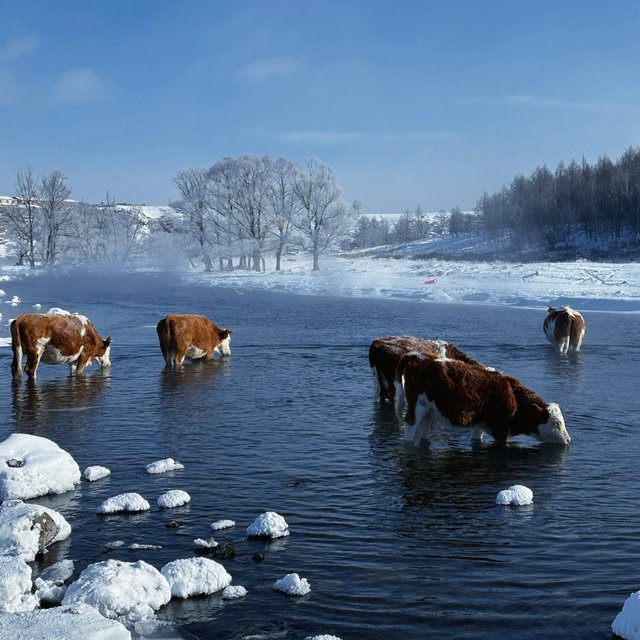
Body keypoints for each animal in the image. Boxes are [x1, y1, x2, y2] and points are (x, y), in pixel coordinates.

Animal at [400, 356, 568, 450]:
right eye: (557, 423)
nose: (568, 440)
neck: (514, 397)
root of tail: (417, 362)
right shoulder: (500, 429)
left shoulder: (480, 424)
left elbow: (476, 440)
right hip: (417, 406)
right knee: (410, 427)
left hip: (428, 411)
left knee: (424, 429)